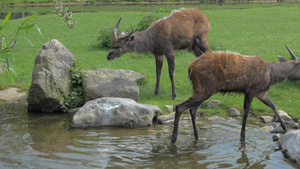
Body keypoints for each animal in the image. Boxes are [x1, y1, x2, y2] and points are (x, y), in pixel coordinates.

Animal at [171, 49, 300, 144]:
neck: (271, 75)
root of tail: (190, 67)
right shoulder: (252, 89)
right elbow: (246, 112)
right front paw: (242, 136)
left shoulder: (260, 92)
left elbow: (272, 105)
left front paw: (285, 127)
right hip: (204, 89)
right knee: (180, 106)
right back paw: (174, 139)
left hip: (201, 90)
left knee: (193, 109)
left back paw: (197, 137)